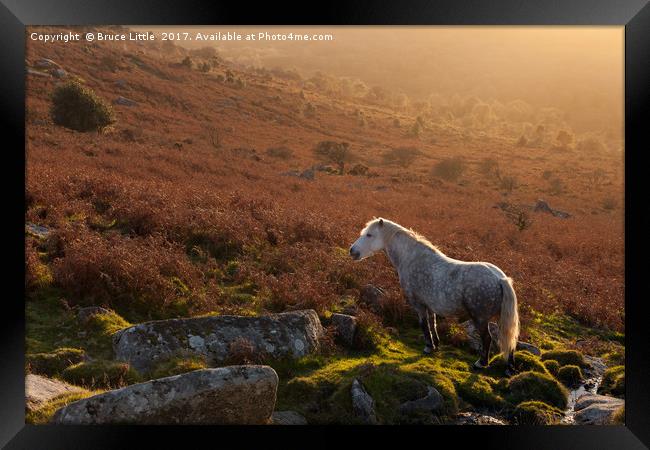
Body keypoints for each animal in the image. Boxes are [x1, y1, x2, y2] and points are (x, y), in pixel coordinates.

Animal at [346, 218, 520, 376]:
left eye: (369, 235)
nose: (352, 251)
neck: (412, 258)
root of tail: (500, 278)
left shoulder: (418, 304)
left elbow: (424, 324)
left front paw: (428, 347)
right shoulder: (429, 305)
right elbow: (432, 323)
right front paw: (436, 344)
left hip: (481, 318)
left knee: (487, 339)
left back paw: (481, 363)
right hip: (499, 318)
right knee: (510, 340)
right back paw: (510, 369)